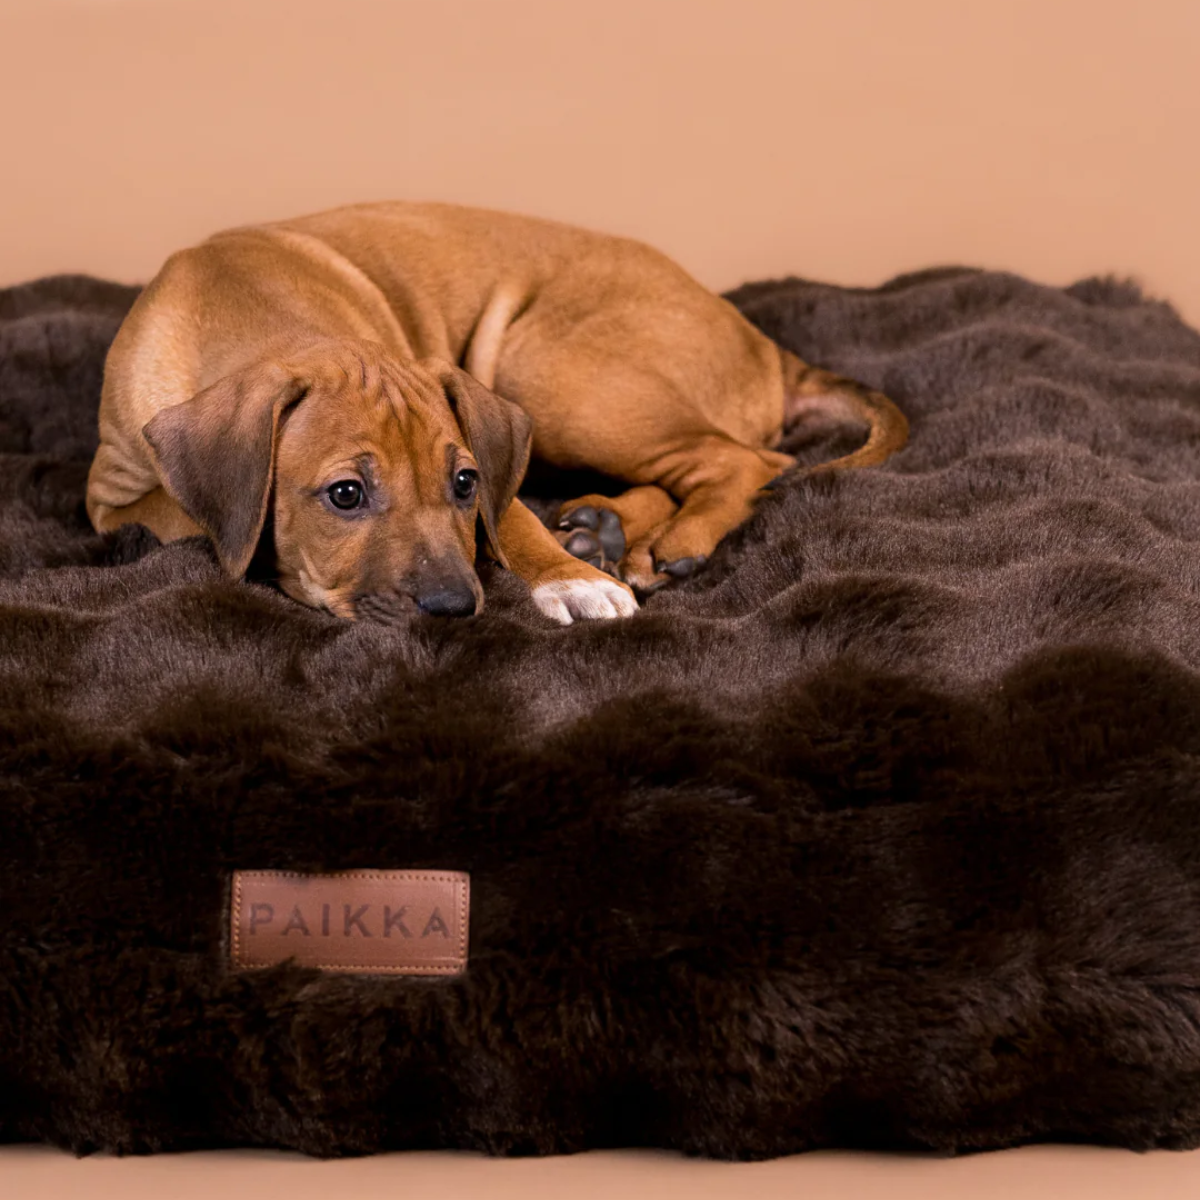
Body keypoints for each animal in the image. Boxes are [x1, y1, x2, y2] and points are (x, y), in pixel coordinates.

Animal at [86, 202, 908, 624]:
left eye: (464, 483)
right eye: (345, 494)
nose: (454, 605)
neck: (251, 310)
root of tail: (768, 350)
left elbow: (513, 517)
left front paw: (569, 579)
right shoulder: (112, 497)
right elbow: (187, 516)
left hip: (546, 365)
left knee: (744, 458)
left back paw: (666, 539)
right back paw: (607, 527)